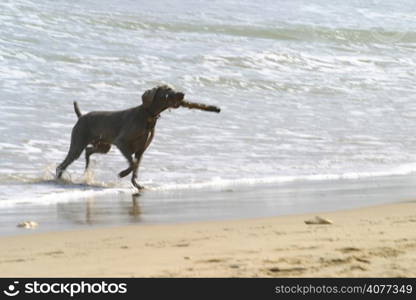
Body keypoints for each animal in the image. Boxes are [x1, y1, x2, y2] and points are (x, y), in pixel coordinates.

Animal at [56, 84, 184, 189]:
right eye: (168, 89)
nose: (183, 94)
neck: (147, 116)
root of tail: (81, 116)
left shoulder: (141, 150)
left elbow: (136, 165)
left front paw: (136, 184)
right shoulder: (121, 142)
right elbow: (133, 163)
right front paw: (123, 174)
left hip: (104, 146)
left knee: (88, 150)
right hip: (78, 145)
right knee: (61, 165)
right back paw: (59, 179)